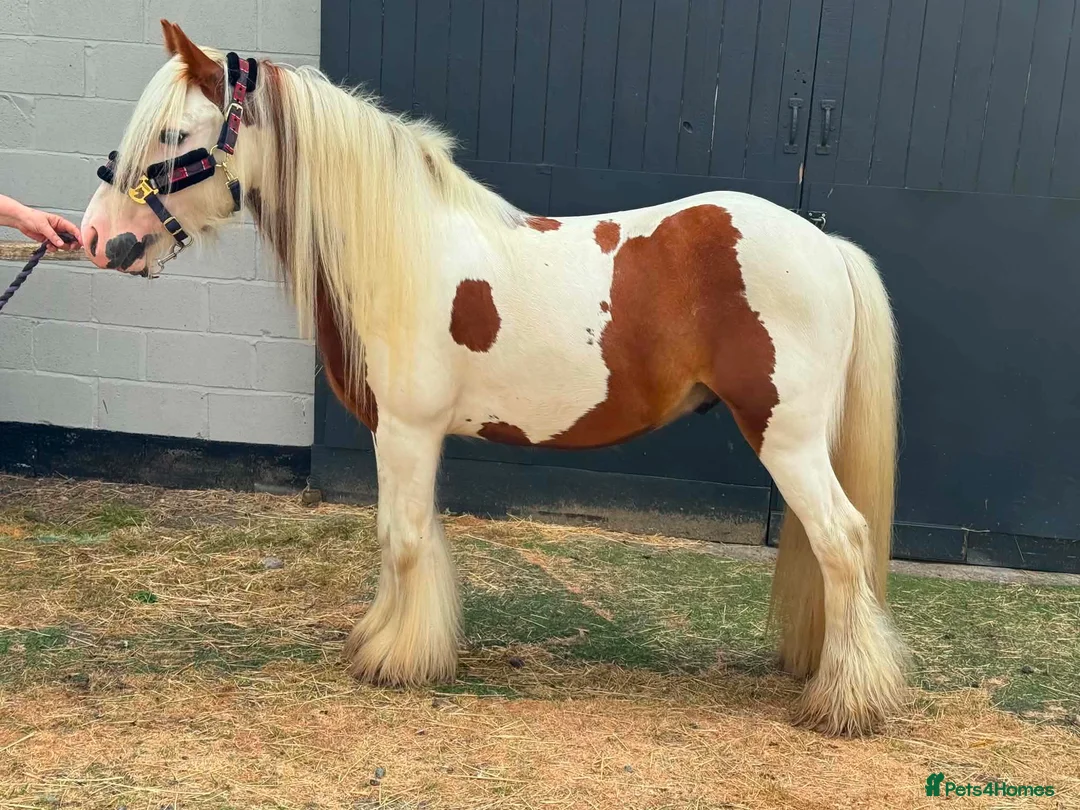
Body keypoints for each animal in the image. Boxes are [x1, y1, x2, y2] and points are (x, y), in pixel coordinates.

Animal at [80, 20, 908, 736]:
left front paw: (395, 659)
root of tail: (825, 245)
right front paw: (386, 638)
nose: (98, 238)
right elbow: (398, 534)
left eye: (173, 137)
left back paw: (846, 702)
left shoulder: (409, 430)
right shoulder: (396, 434)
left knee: (842, 539)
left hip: (786, 437)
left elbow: (404, 537)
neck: (399, 246)